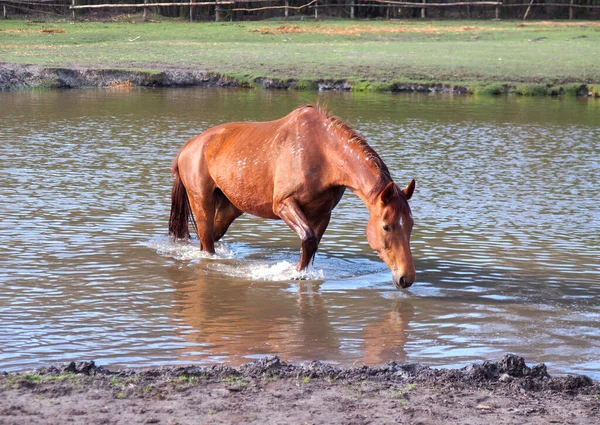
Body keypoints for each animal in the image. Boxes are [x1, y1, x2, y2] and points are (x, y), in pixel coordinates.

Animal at [166, 104, 414, 288]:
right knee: (206, 243)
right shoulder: (284, 204)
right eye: (386, 226)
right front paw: (296, 275)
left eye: (410, 225)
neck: (323, 153)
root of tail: (188, 147)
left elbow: (312, 245)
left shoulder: (322, 214)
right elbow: (308, 239)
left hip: (229, 208)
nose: (406, 278)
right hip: (202, 204)